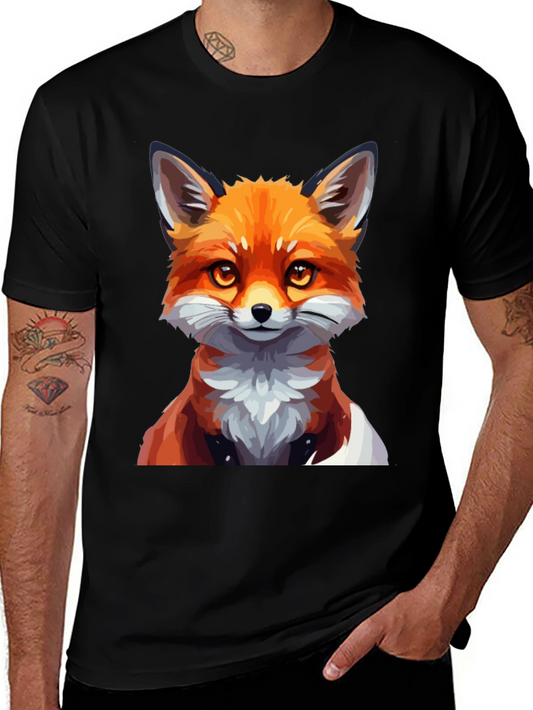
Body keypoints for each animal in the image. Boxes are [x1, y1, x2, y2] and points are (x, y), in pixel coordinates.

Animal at [138, 143, 388, 466]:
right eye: (225, 273)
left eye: (299, 272)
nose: (261, 311)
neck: (262, 385)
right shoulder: (214, 433)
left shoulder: (310, 432)